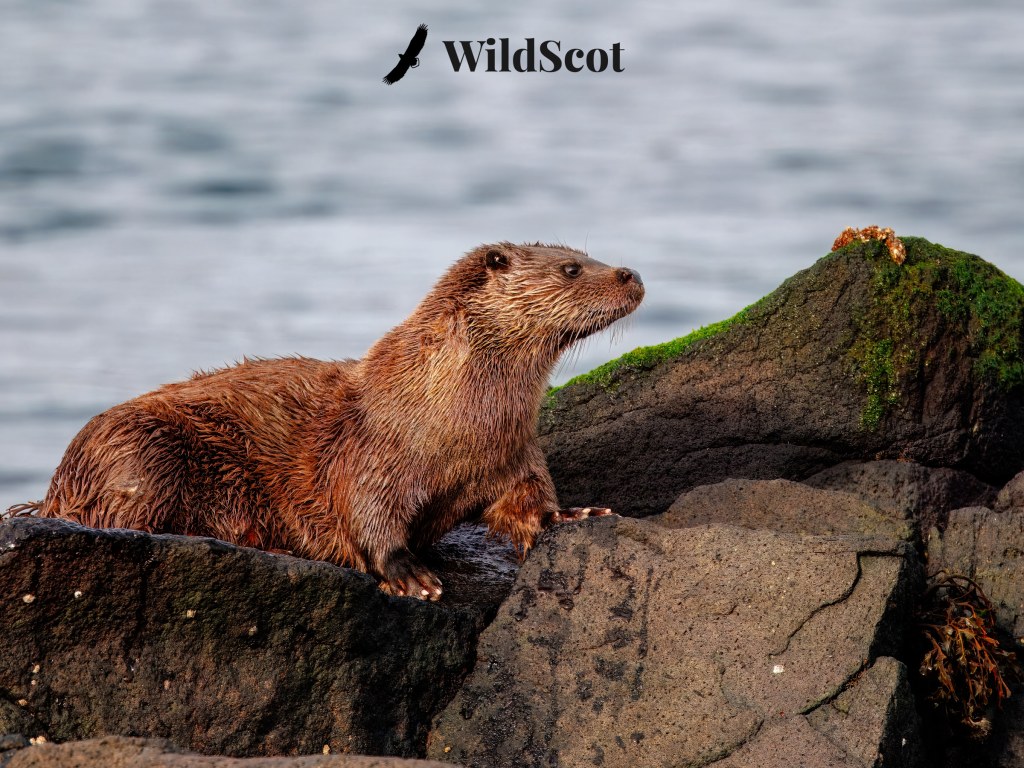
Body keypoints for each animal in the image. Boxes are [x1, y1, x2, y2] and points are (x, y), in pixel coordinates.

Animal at [19, 242, 644, 600]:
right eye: (571, 268)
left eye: (587, 252)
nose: (630, 273)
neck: (456, 423)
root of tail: (57, 486)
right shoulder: (371, 454)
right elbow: (367, 514)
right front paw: (409, 574)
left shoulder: (516, 453)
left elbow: (529, 500)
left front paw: (573, 513)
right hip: (138, 452)